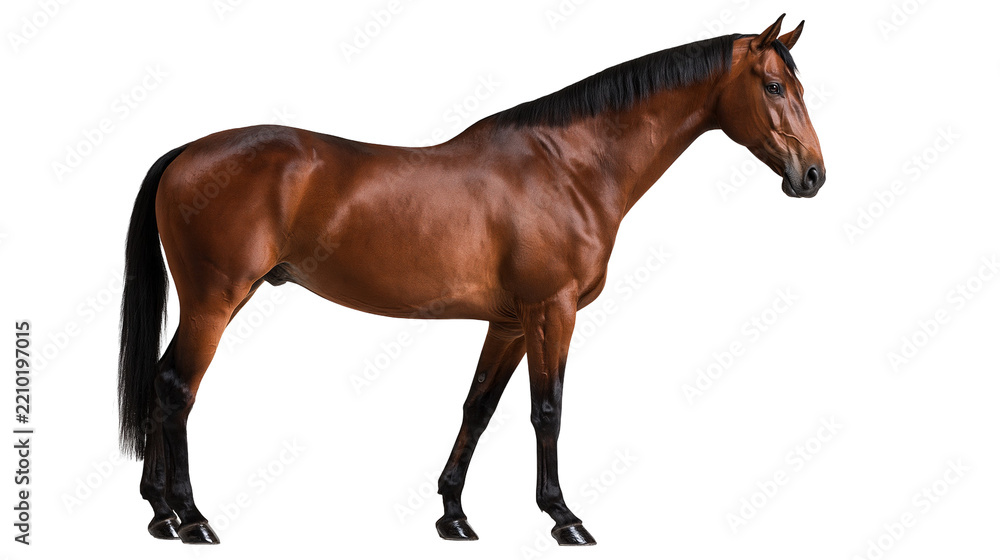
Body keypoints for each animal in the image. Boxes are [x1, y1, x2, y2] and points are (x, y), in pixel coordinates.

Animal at [118, 14, 825, 546]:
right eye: (773, 86)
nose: (813, 175)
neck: (569, 167)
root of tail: (185, 153)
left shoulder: (509, 322)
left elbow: (479, 408)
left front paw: (453, 514)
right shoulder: (552, 311)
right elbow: (548, 409)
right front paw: (564, 519)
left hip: (215, 301)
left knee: (159, 379)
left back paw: (159, 513)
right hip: (215, 300)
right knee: (178, 388)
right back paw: (193, 519)